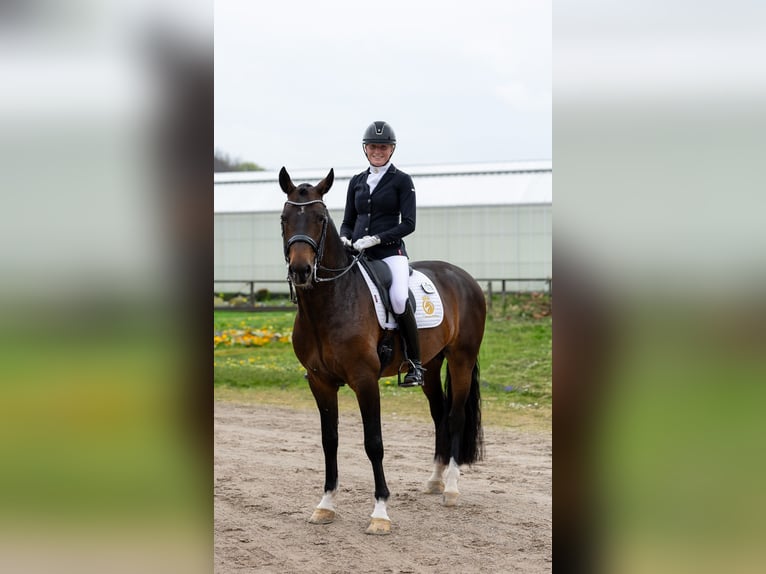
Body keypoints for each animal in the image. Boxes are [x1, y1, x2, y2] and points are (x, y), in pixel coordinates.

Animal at [278, 166, 486, 535]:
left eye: (320, 218)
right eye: (284, 219)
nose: (300, 271)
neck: (331, 302)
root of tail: (463, 277)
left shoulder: (365, 380)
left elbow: (373, 443)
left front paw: (380, 513)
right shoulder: (319, 382)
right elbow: (329, 440)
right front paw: (326, 505)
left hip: (462, 359)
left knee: (455, 416)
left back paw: (450, 488)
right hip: (430, 364)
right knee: (439, 414)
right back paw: (434, 480)